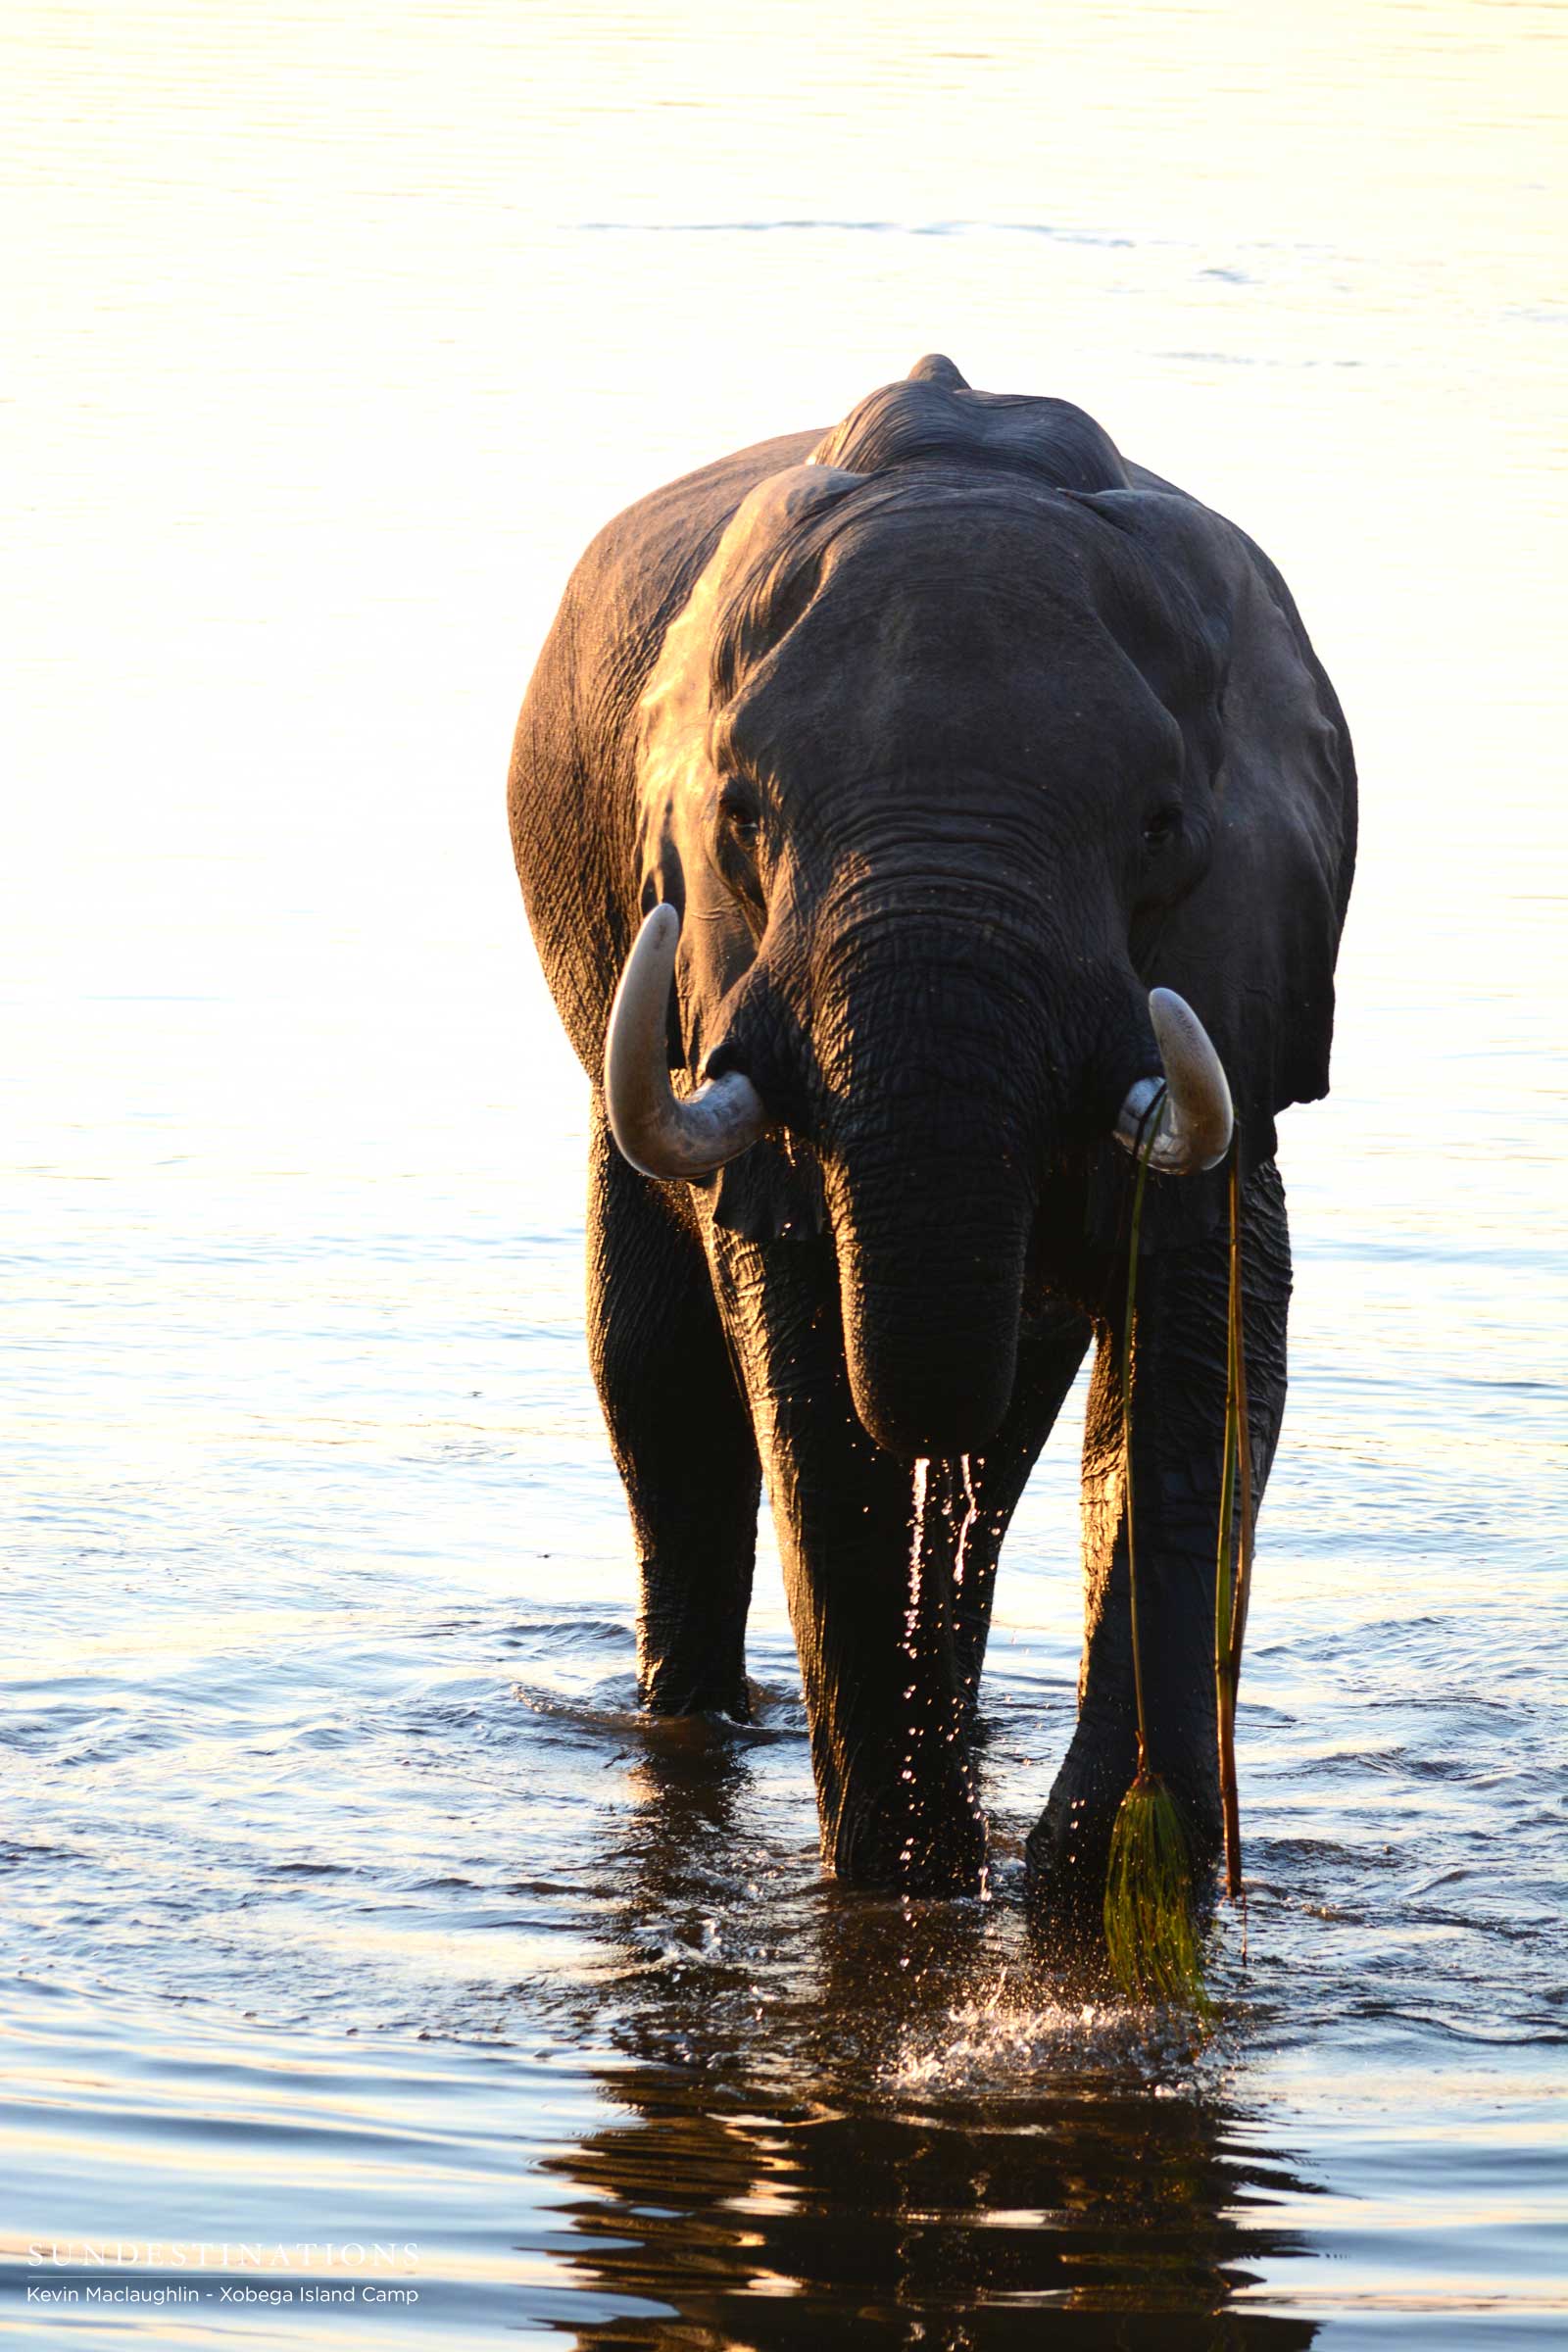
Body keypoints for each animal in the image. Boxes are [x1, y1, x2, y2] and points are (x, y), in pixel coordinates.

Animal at [507, 354, 1355, 1917]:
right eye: (742, 817)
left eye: (1160, 827)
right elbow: (796, 1360)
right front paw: (905, 1885)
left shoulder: (1242, 975)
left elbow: (1199, 1345)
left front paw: (1104, 1881)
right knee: (658, 1378)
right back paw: (705, 1722)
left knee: (1004, 1436)